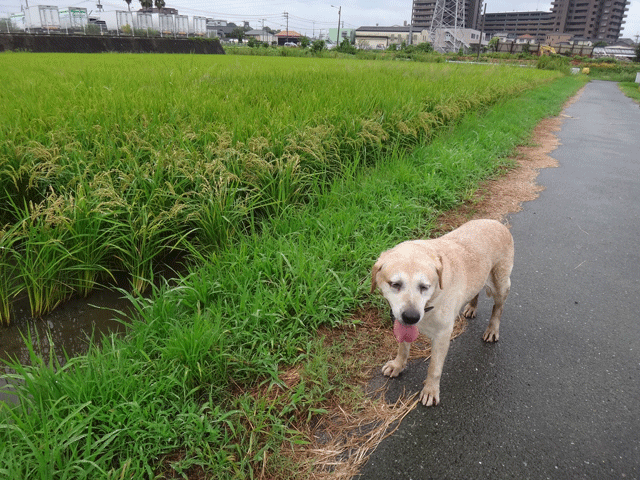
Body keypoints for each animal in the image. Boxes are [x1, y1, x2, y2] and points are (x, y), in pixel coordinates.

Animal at [370, 219, 516, 406]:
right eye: (395, 284)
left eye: (424, 287)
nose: (411, 317)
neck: (431, 302)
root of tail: (496, 222)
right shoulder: (402, 324)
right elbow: (403, 348)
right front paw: (398, 365)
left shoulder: (443, 335)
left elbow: (434, 368)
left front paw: (431, 390)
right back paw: (472, 306)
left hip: (500, 285)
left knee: (498, 308)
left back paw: (492, 329)